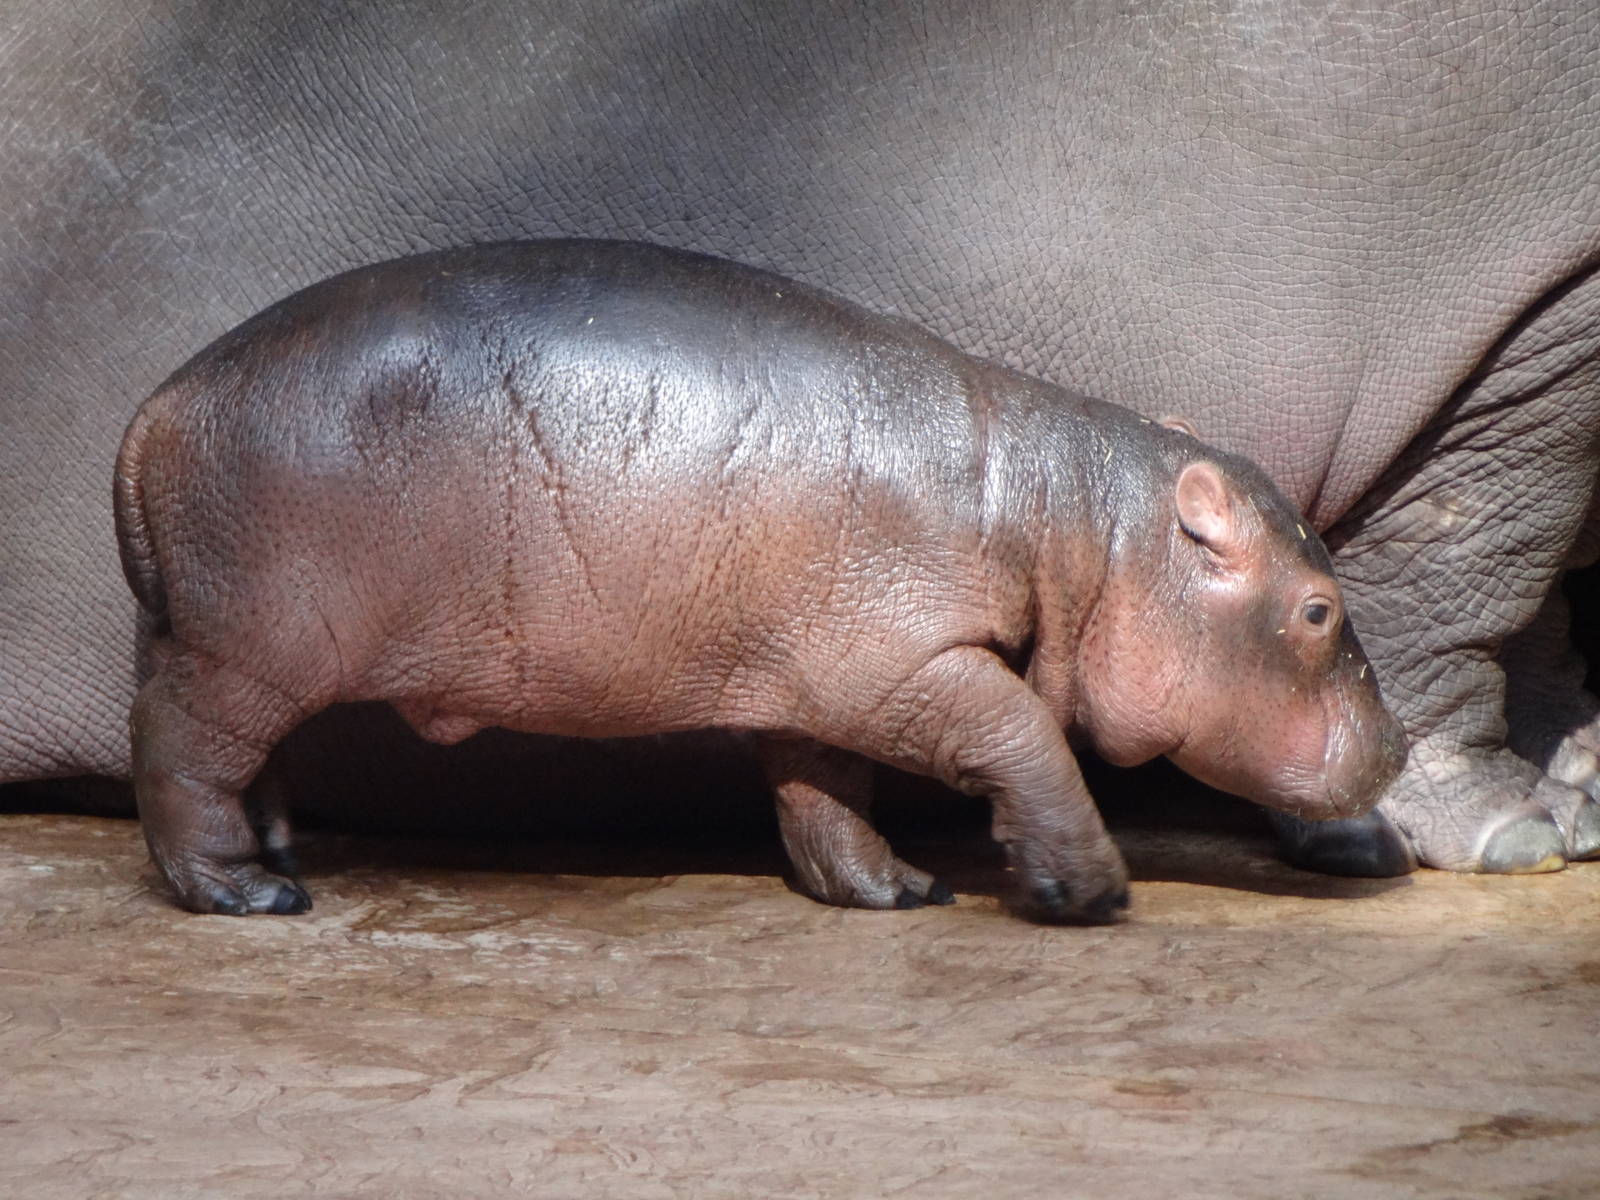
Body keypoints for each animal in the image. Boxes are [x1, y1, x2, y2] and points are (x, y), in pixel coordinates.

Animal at [114, 240, 1405, 923]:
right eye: (1318, 608)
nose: (1396, 749)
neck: (1082, 531)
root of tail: (160, 403)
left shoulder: (825, 681)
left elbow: (821, 792)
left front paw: (896, 892)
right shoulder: (908, 661)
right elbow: (1023, 735)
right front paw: (1085, 892)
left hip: (217, 634)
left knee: (232, 758)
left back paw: (278, 858)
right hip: (248, 648)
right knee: (178, 750)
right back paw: (248, 896)